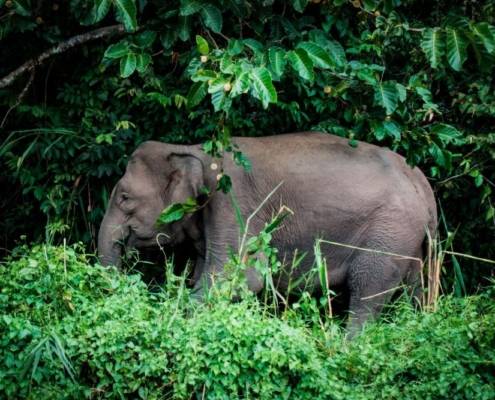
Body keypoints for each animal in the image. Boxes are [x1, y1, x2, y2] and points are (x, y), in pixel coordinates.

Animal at [98, 132, 438, 334]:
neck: (190, 149)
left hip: (390, 232)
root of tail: (422, 184)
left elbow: (240, 278)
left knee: (367, 290)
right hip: (408, 240)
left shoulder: (234, 202)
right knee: (413, 289)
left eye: (125, 197)